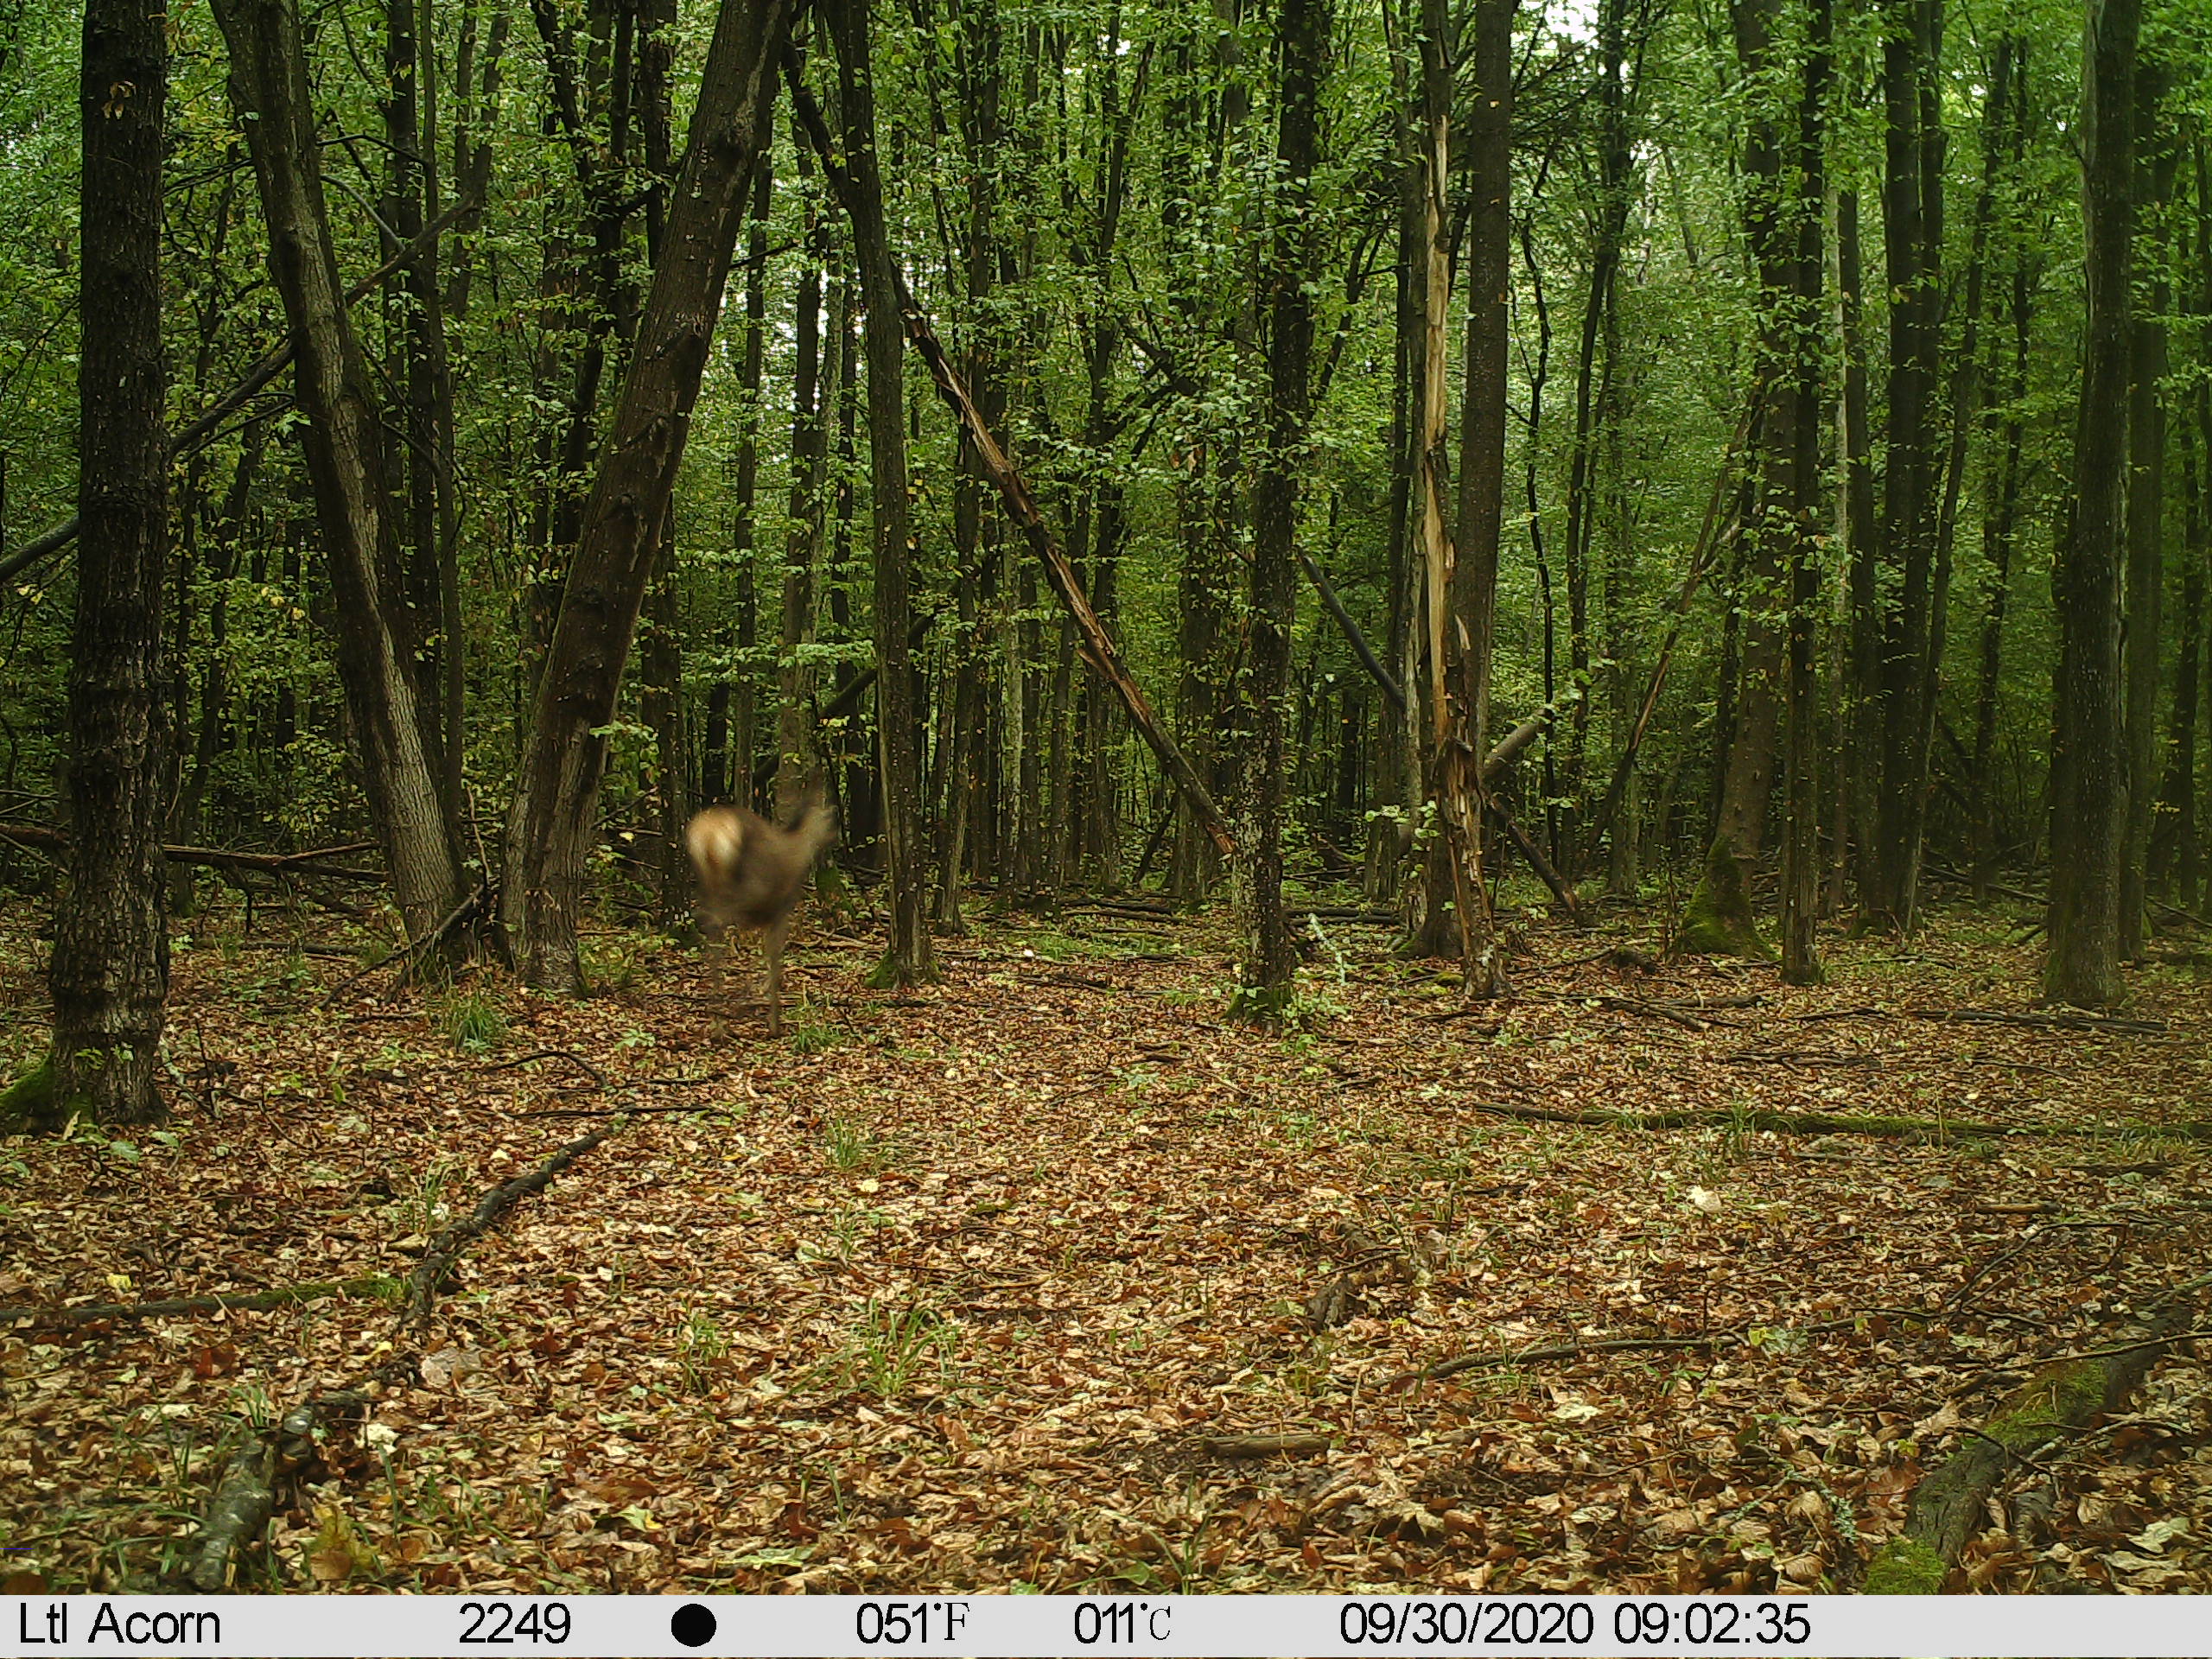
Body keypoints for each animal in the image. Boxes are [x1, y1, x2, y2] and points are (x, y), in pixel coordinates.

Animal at [684, 784, 839, 1036]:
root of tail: (709, 835)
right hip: (749, 886)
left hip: (706, 883)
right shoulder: (780, 907)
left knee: (710, 926)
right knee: (717, 924)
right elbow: (775, 955)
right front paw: (774, 1021)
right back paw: (720, 1023)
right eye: (832, 820)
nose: (834, 839)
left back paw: (717, 1016)